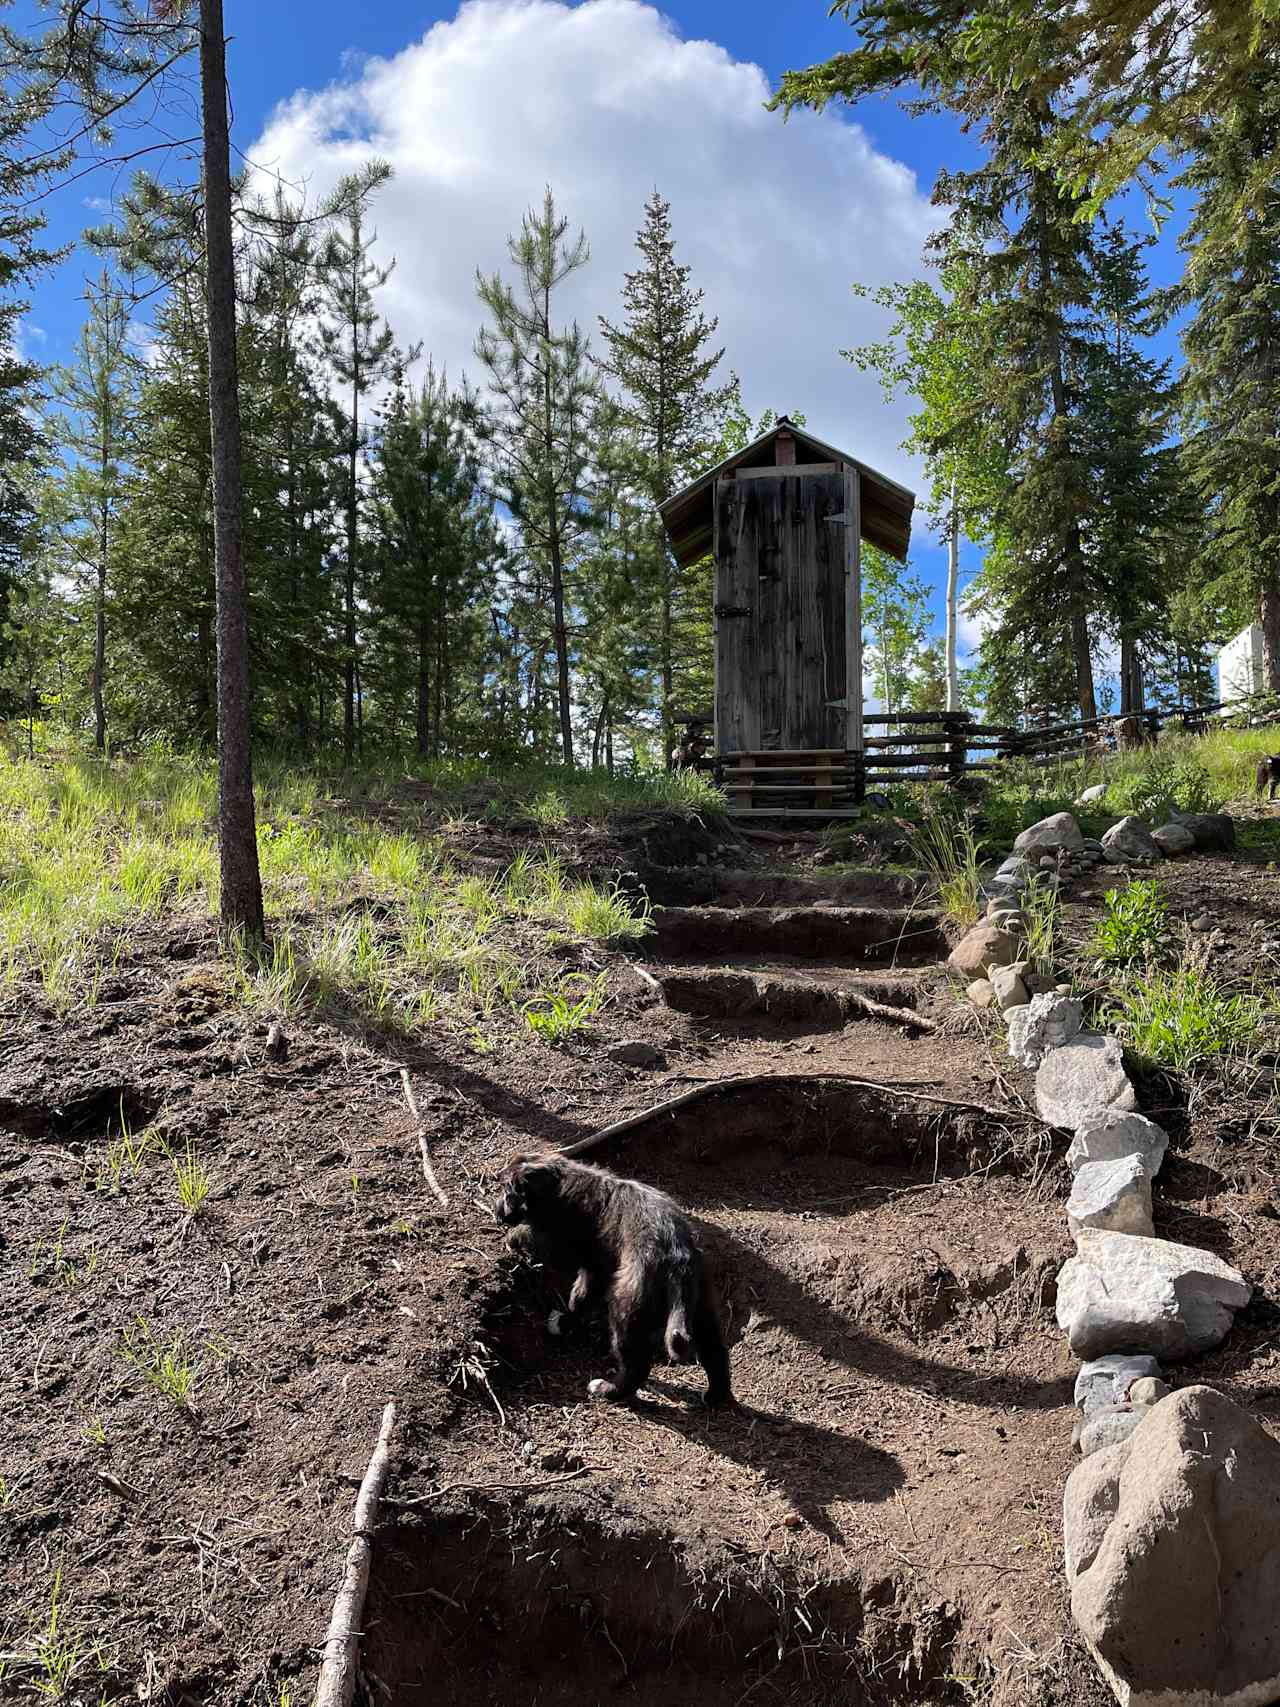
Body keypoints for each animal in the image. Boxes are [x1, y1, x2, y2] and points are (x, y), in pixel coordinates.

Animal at [491, 1147, 730, 1413]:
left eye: (506, 1191)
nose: (497, 1212)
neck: (559, 1182)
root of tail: (678, 1255)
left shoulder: (562, 1245)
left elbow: (535, 1239)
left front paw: (513, 1238)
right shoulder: (595, 1268)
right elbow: (581, 1297)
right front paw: (567, 1320)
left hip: (626, 1307)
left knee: (637, 1364)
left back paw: (607, 1390)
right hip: (701, 1307)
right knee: (716, 1351)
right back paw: (716, 1395)